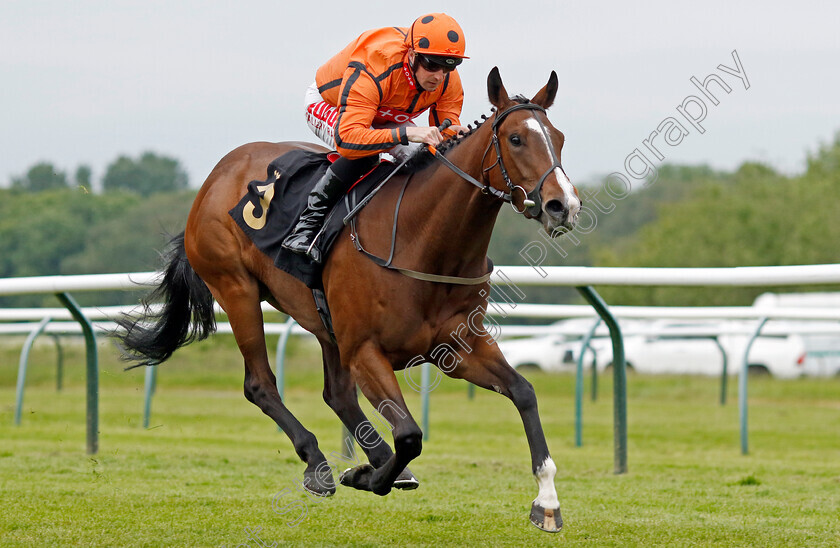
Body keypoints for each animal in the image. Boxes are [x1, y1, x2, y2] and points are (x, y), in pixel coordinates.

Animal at [116, 67, 576, 532]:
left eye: (558, 137)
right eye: (516, 139)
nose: (563, 205)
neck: (421, 240)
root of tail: (215, 177)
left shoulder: (457, 347)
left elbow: (523, 391)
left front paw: (547, 501)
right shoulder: (366, 350)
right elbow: (409, 434)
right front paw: (366, 476)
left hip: (325, 324)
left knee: (336, 395)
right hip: (236, 290)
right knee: (260, 384)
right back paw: (319, 465)